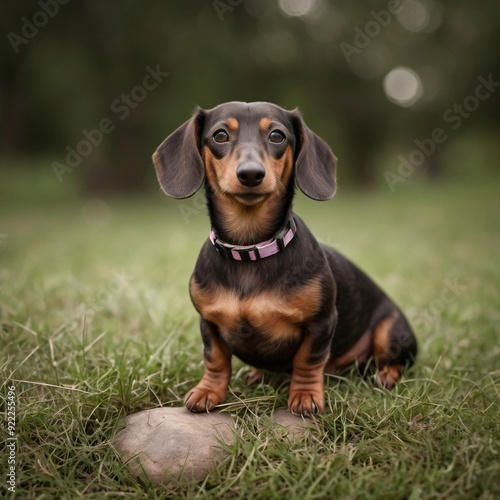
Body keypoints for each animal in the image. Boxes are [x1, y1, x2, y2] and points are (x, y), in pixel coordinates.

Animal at [153, 99, 418, 416]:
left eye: (277, 136)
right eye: (220, 135)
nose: (251, 174)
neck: (251, 250)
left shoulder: (321, 322)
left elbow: (308, 359)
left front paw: (305, 396)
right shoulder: (209, 322)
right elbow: (215, 359)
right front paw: (208, 392)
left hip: (390, 331)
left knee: (397, 359)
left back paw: (385, 375)